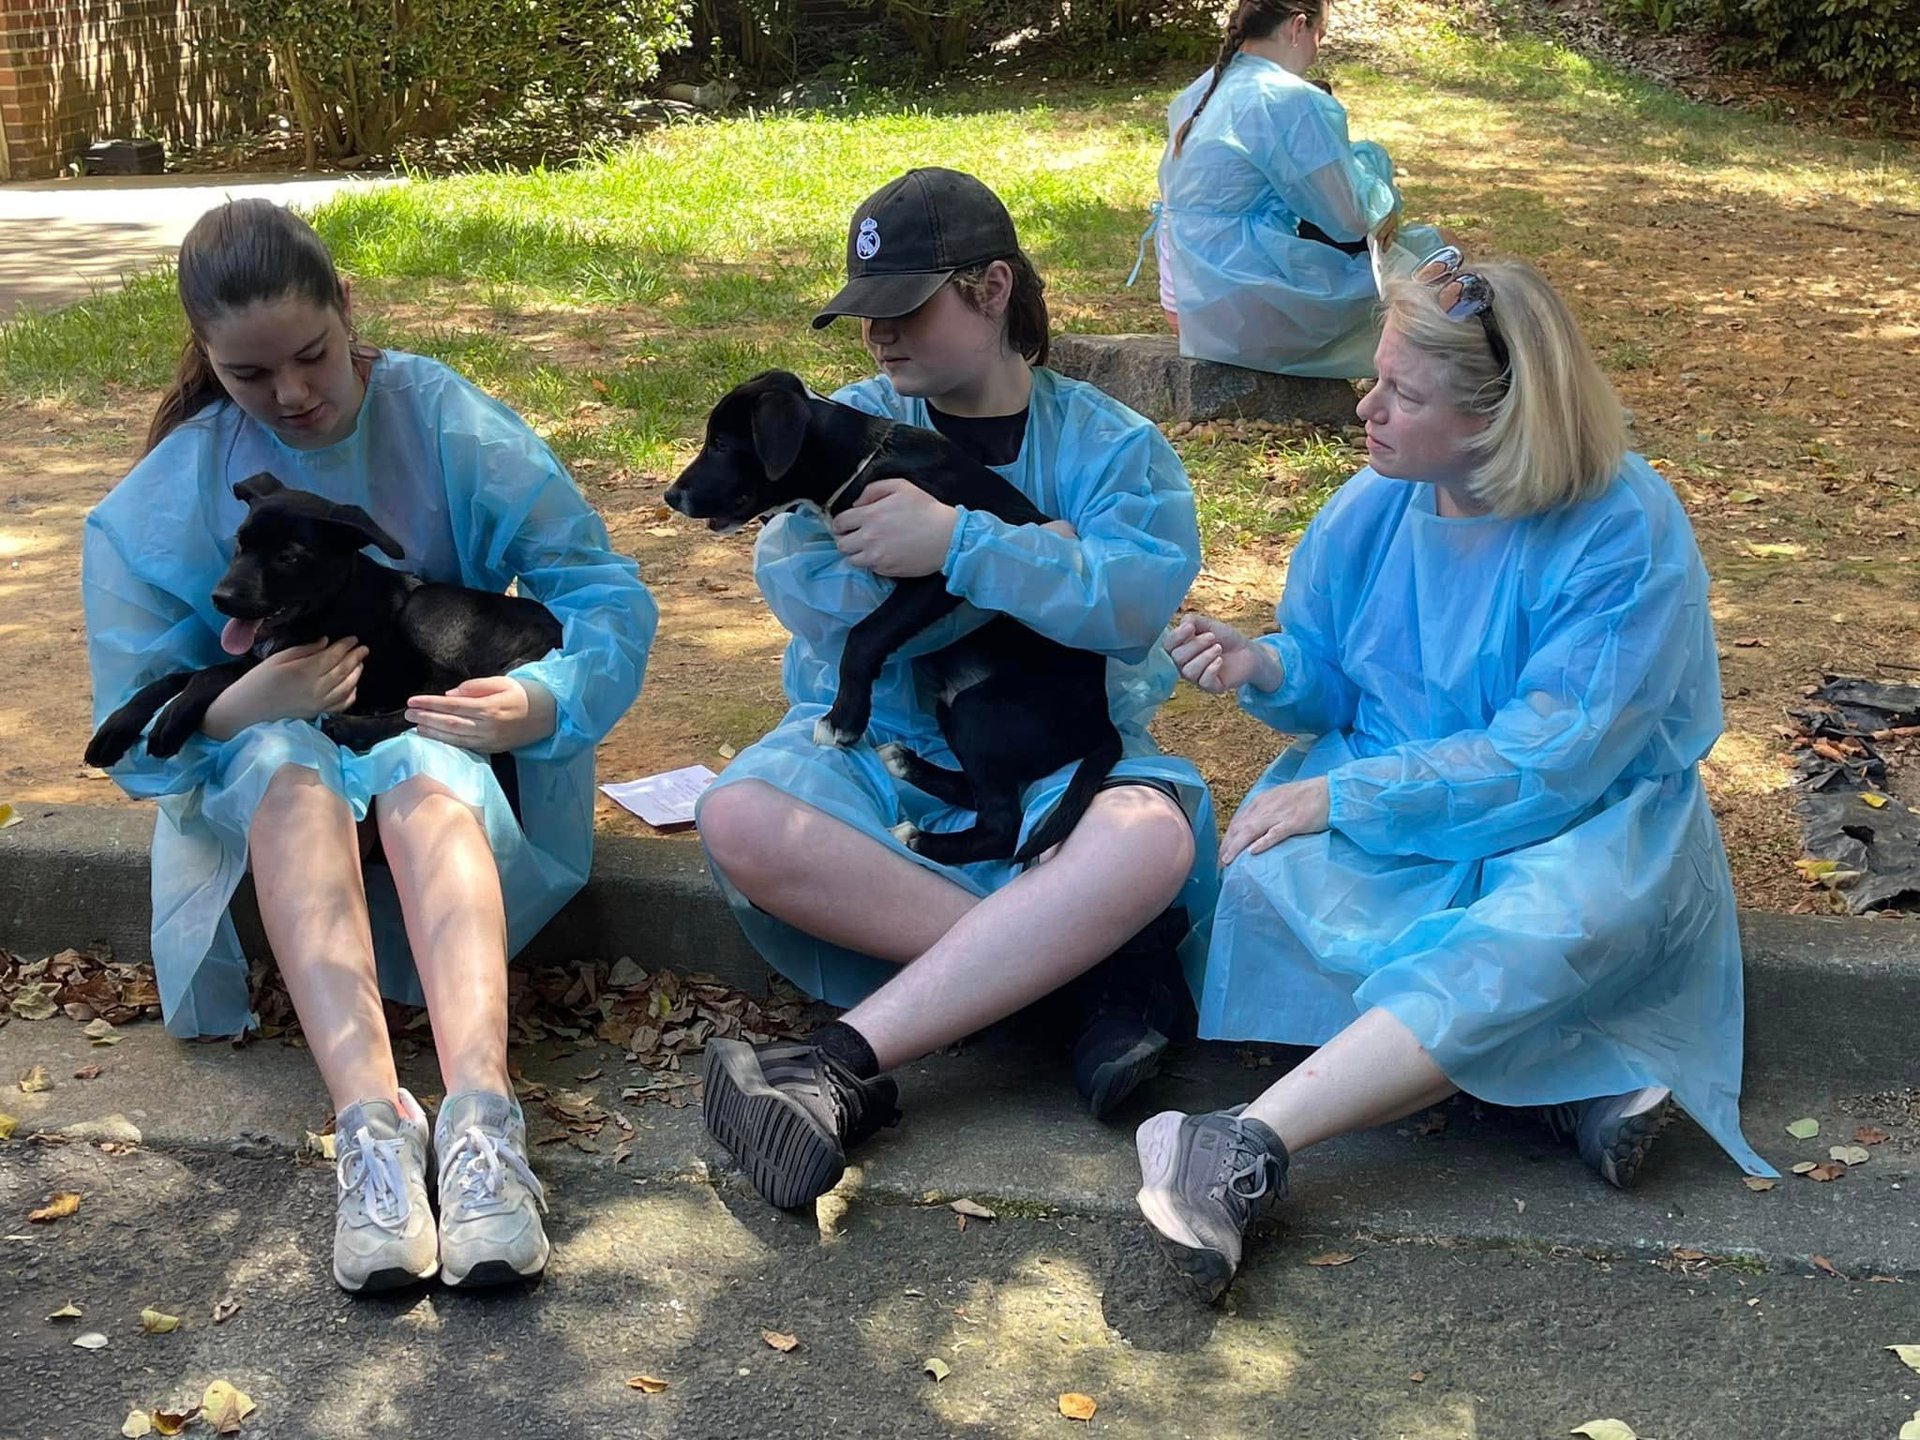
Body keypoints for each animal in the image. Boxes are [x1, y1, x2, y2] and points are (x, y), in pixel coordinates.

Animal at [86, 470, 560, 768]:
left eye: (288, 557)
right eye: (240, 543)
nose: (220, 599)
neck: (332, 599)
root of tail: (554, 630)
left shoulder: (276, 660)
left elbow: (210, 673)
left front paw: (174, 717)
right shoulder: (258, 657)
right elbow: (171, 677)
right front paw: (116, 727)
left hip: (425, 608)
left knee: (445, 697)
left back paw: (352, 727)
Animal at [668, 372, 1121, 867]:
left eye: (721, 445)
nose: (670, 496)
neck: (860, 465)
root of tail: (1101, 722)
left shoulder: (934, 567)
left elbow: (864, 634)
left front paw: (843, 721)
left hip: (982, 712)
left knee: (1002, 825)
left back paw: (919, 838)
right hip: (955, 711)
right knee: (977, 793)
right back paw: (905, 763)